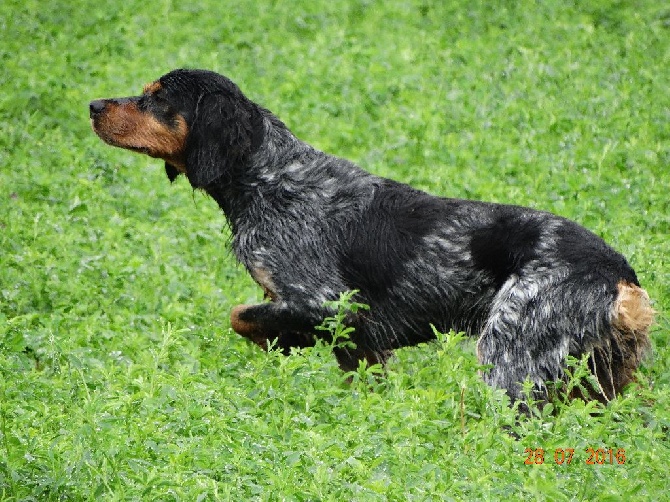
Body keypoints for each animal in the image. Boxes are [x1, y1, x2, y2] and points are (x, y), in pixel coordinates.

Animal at [90, 69, 656, 404]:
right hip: (604, 377)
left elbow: (241, 316)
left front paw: (279, 342)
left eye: (157, 98)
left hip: (510, 360)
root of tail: (619, 276)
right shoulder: (360, 343)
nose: (93, 105)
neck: (270, 178)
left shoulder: (328, 304)